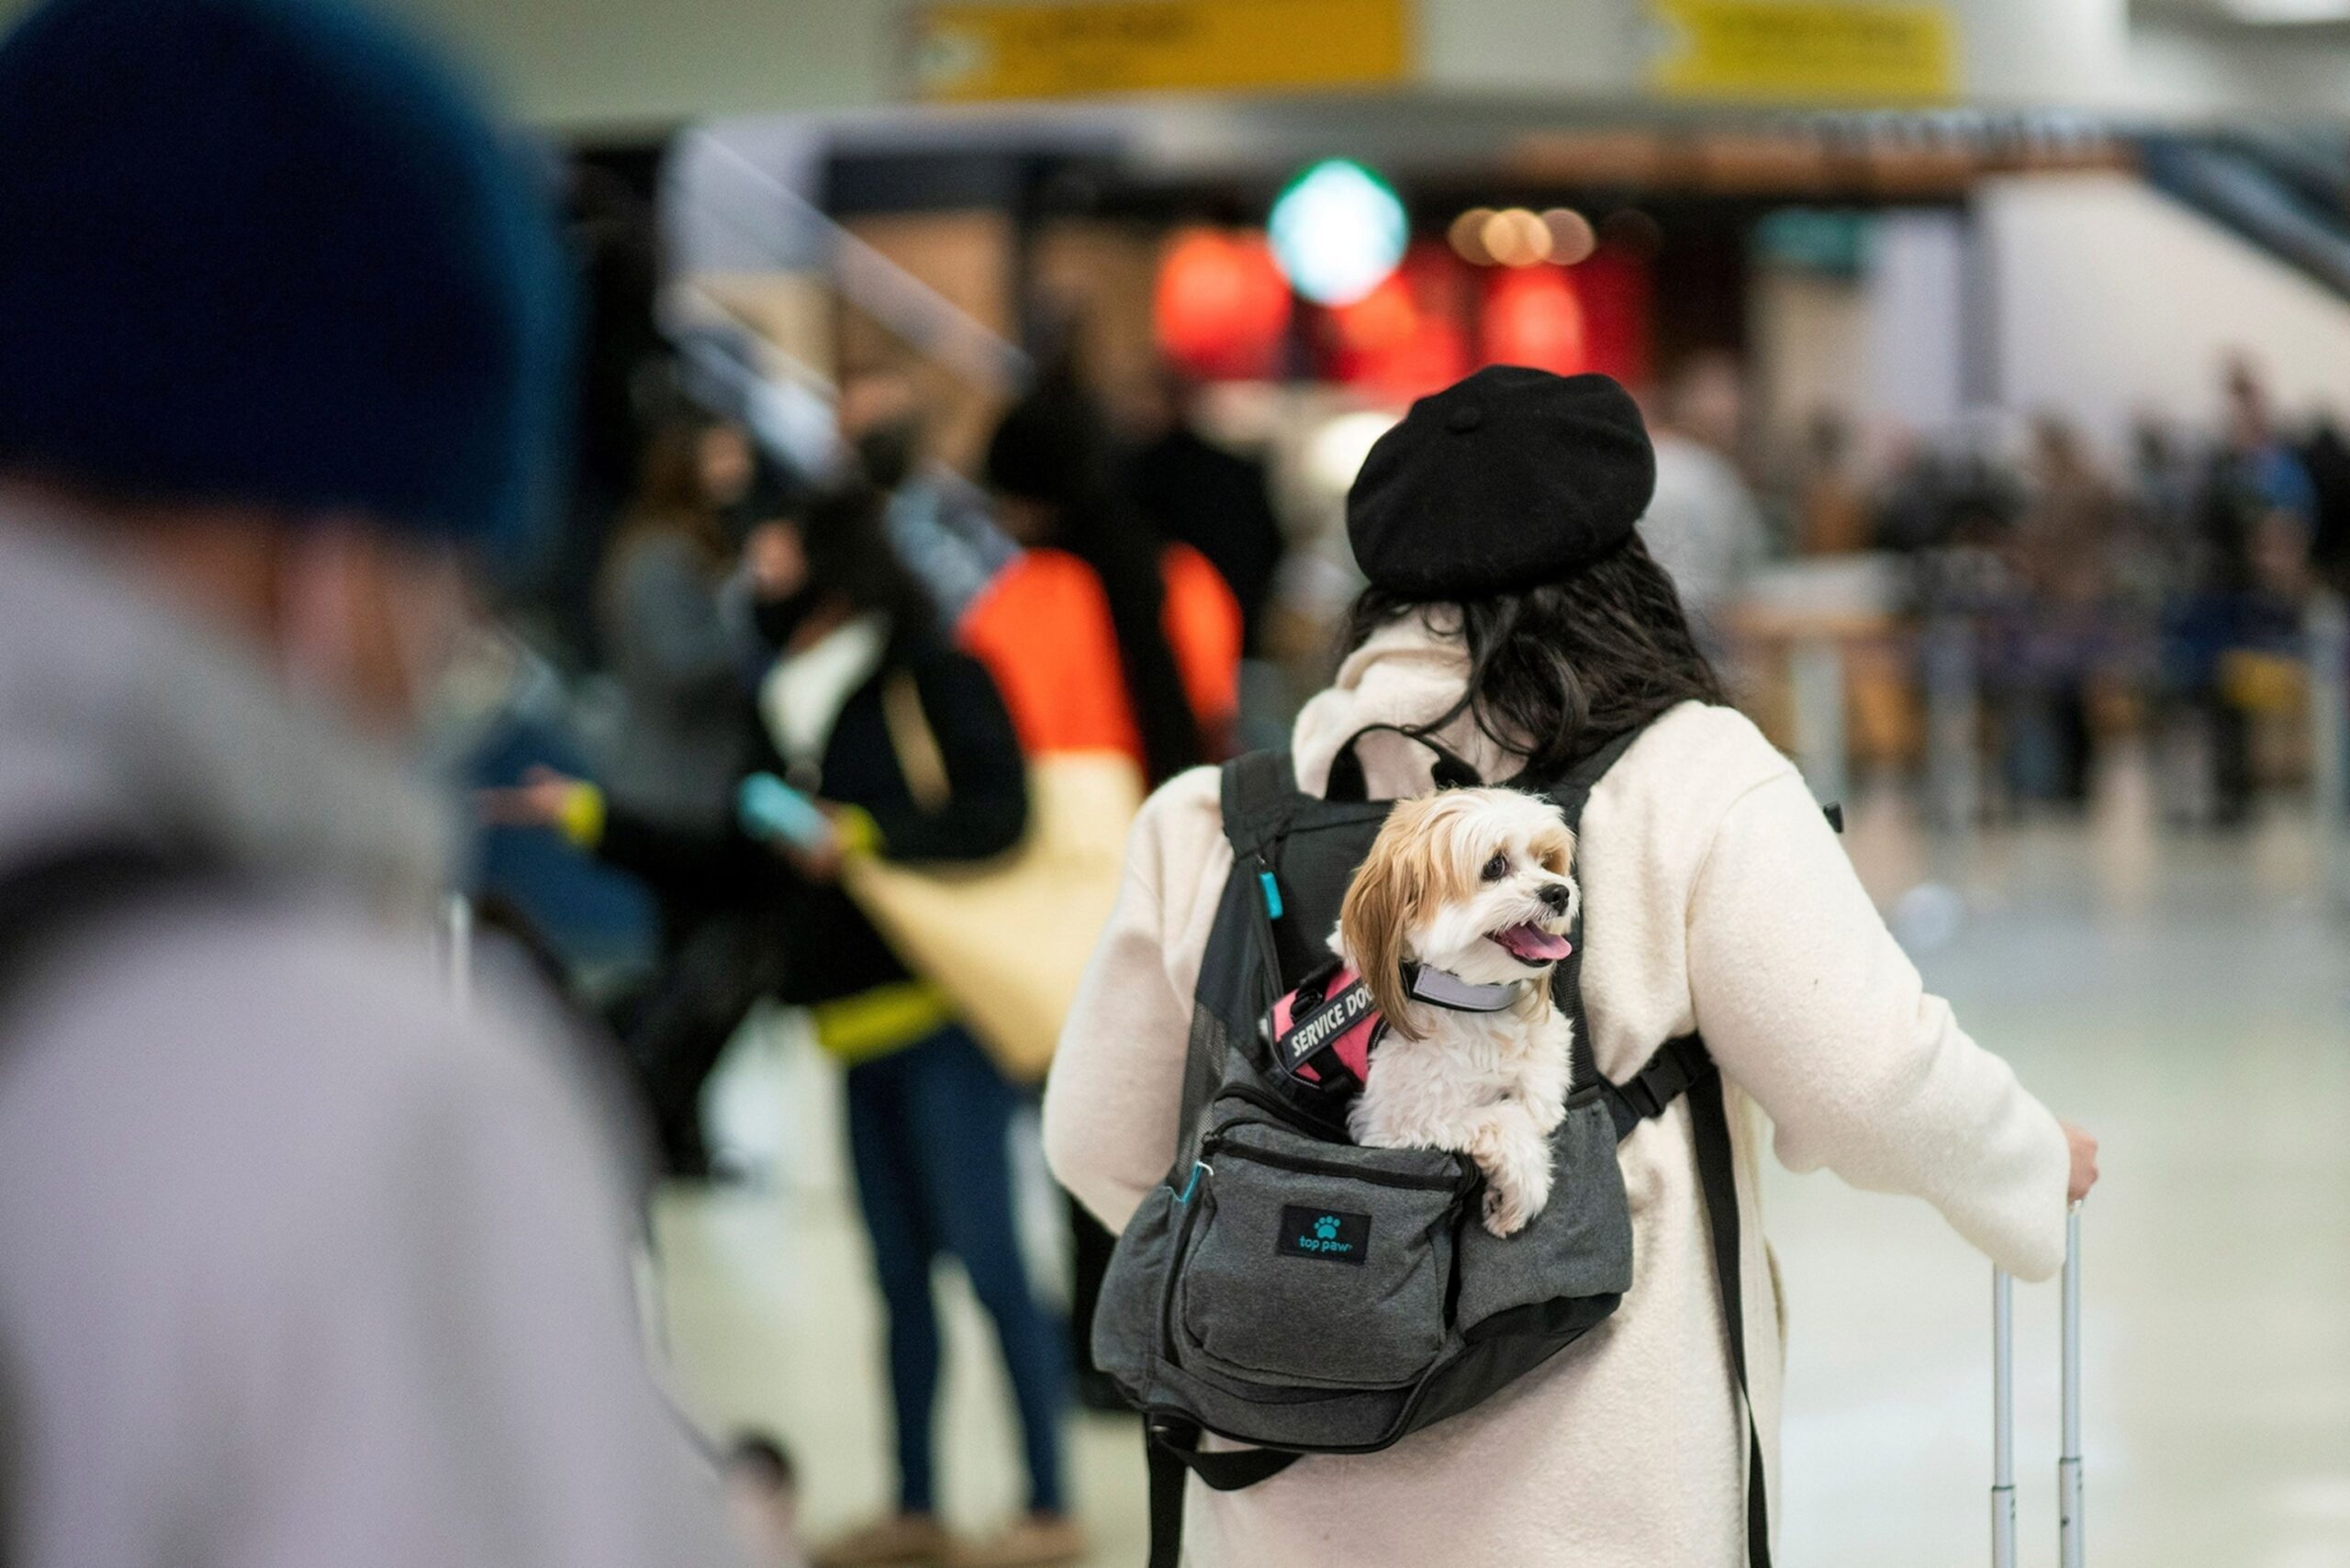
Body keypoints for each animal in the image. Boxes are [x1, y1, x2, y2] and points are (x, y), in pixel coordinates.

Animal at [1344, 790, 1579, 1241]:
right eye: (1494, 866)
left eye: (1546, 860)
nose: (1559, 892)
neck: (1469, 1000)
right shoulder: (1397, 1125)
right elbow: (1506, 1122)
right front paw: (1518, 1195)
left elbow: (1543, 1082)